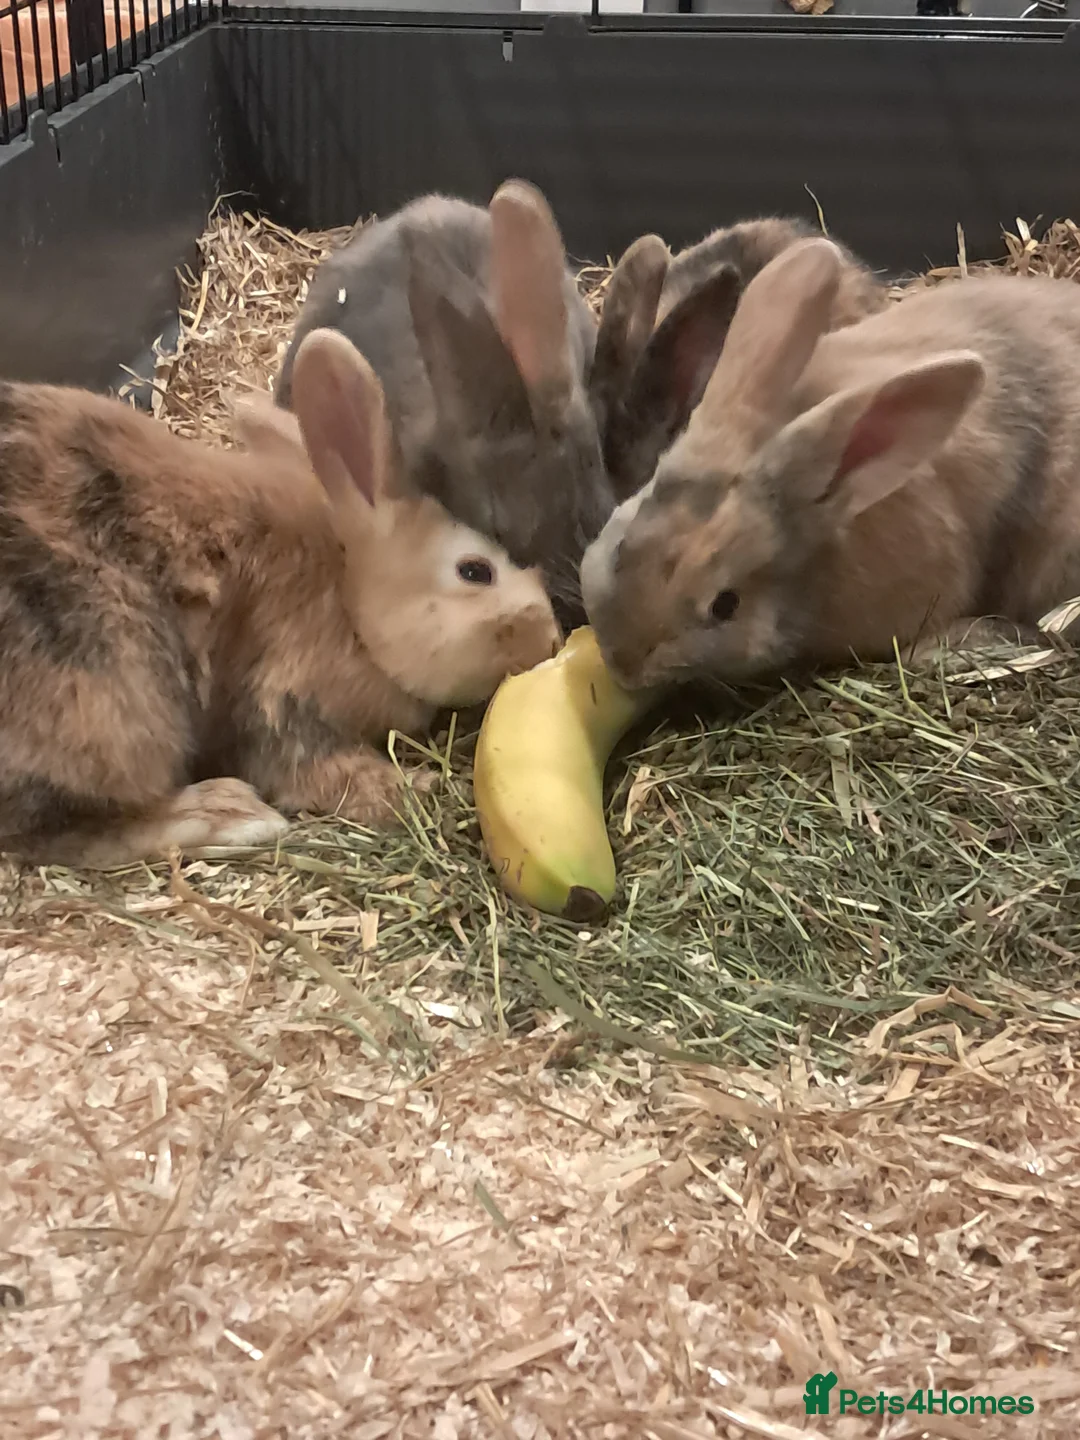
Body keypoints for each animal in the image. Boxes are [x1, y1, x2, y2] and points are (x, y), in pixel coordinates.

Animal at [0, 328, 560, 869]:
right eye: (475, 571)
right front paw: (415, 789)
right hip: (114, 706)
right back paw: (227, 813)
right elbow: (320, 770)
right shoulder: (279, 699)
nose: (553, 638)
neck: (347, 595)